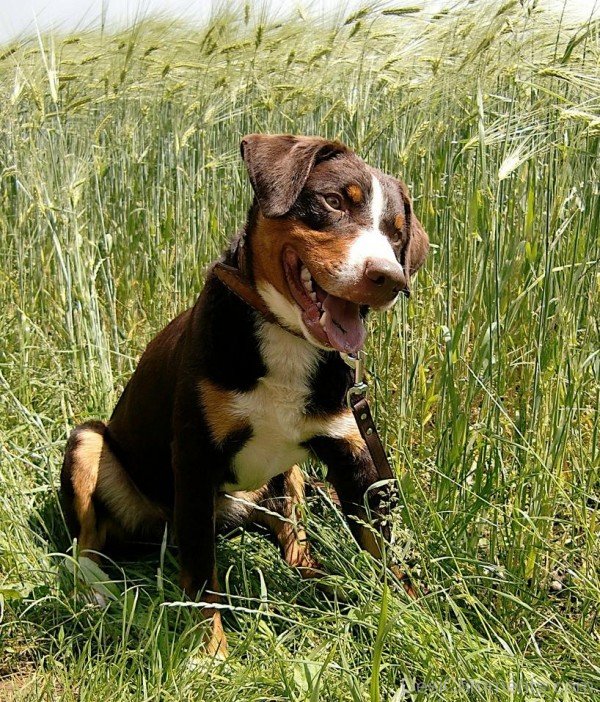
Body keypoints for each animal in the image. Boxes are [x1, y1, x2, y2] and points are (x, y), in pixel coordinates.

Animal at [59, 133, 426, 660]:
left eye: (397, 234)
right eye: (335, 202)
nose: (389, 278)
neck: (287, 339)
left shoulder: (353, 454)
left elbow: (386, 551)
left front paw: (416, 618)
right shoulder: (195, 459)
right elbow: (200, 575)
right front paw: (207, 652)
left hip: (286, 479)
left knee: (291, 531)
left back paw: (316, 573)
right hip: (90, 442)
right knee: (85, 542)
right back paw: (93, 590)